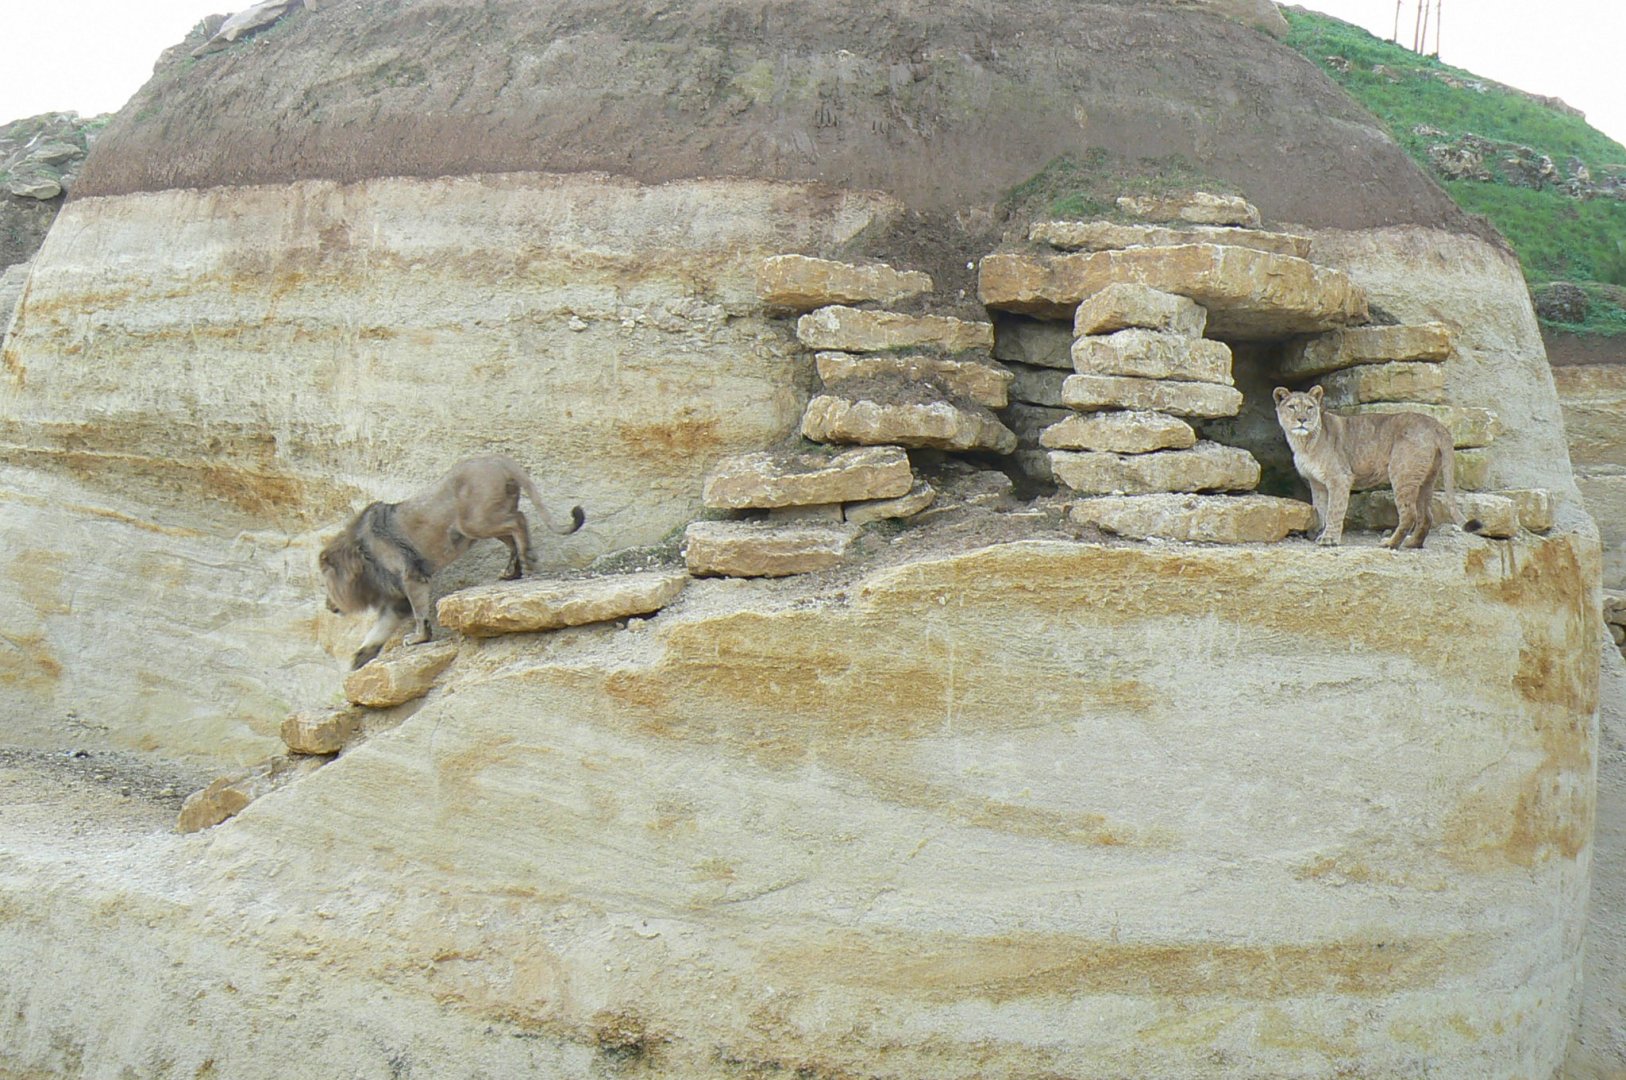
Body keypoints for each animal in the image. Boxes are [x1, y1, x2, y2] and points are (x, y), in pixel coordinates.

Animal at [319, 455, 585, 669]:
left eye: (326, 585)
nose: (327, 605)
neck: (362, 558)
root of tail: (499, 460)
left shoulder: (411, 577)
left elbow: (419, 612)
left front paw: (418, 639)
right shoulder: (396, 598)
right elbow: (380, 628)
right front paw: (360, 657)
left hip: (475, 522)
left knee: (518, 521)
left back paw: (527, 562)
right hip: (483, 522)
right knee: (512, 534)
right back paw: (512, 571)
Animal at [1274, 385, 1479, 549]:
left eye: (1309, 408)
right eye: (1292, 407)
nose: (1302, 419)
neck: (1303, 442)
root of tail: (1436, 424)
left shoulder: (1340, 478)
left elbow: (1334, 510)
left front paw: (1329, 539)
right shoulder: (1317, 482)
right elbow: (1320, 509)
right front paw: (1318, 533)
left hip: (1402, 473)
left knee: (1409, 514)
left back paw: (1391, 544)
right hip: (1425, 478)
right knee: (1426, 515)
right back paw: (1413, 543)